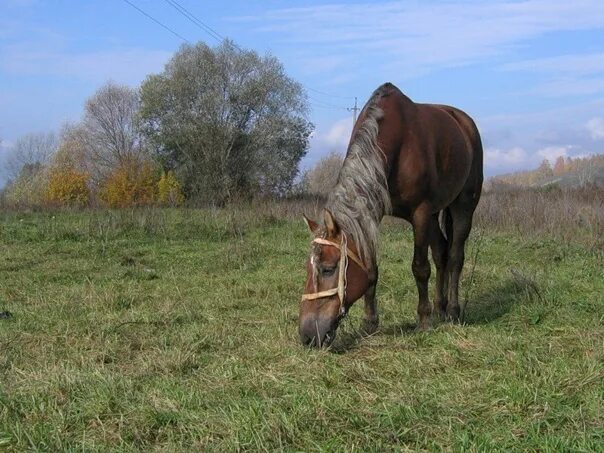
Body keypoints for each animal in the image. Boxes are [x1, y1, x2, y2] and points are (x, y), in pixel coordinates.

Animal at [300, 81, 484, 346]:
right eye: (307, 267)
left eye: (328, 269)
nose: (307, 335)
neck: (395, 143)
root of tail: (464, 122)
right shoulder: (372, 214)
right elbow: (371, 269)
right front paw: (369, 322)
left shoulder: (420, 213)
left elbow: (420, 268)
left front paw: (423, 320)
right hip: (435, 216)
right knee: (441, 254)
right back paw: (440, 307)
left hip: (463, 206)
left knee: (455, 256)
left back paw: (452, 311)